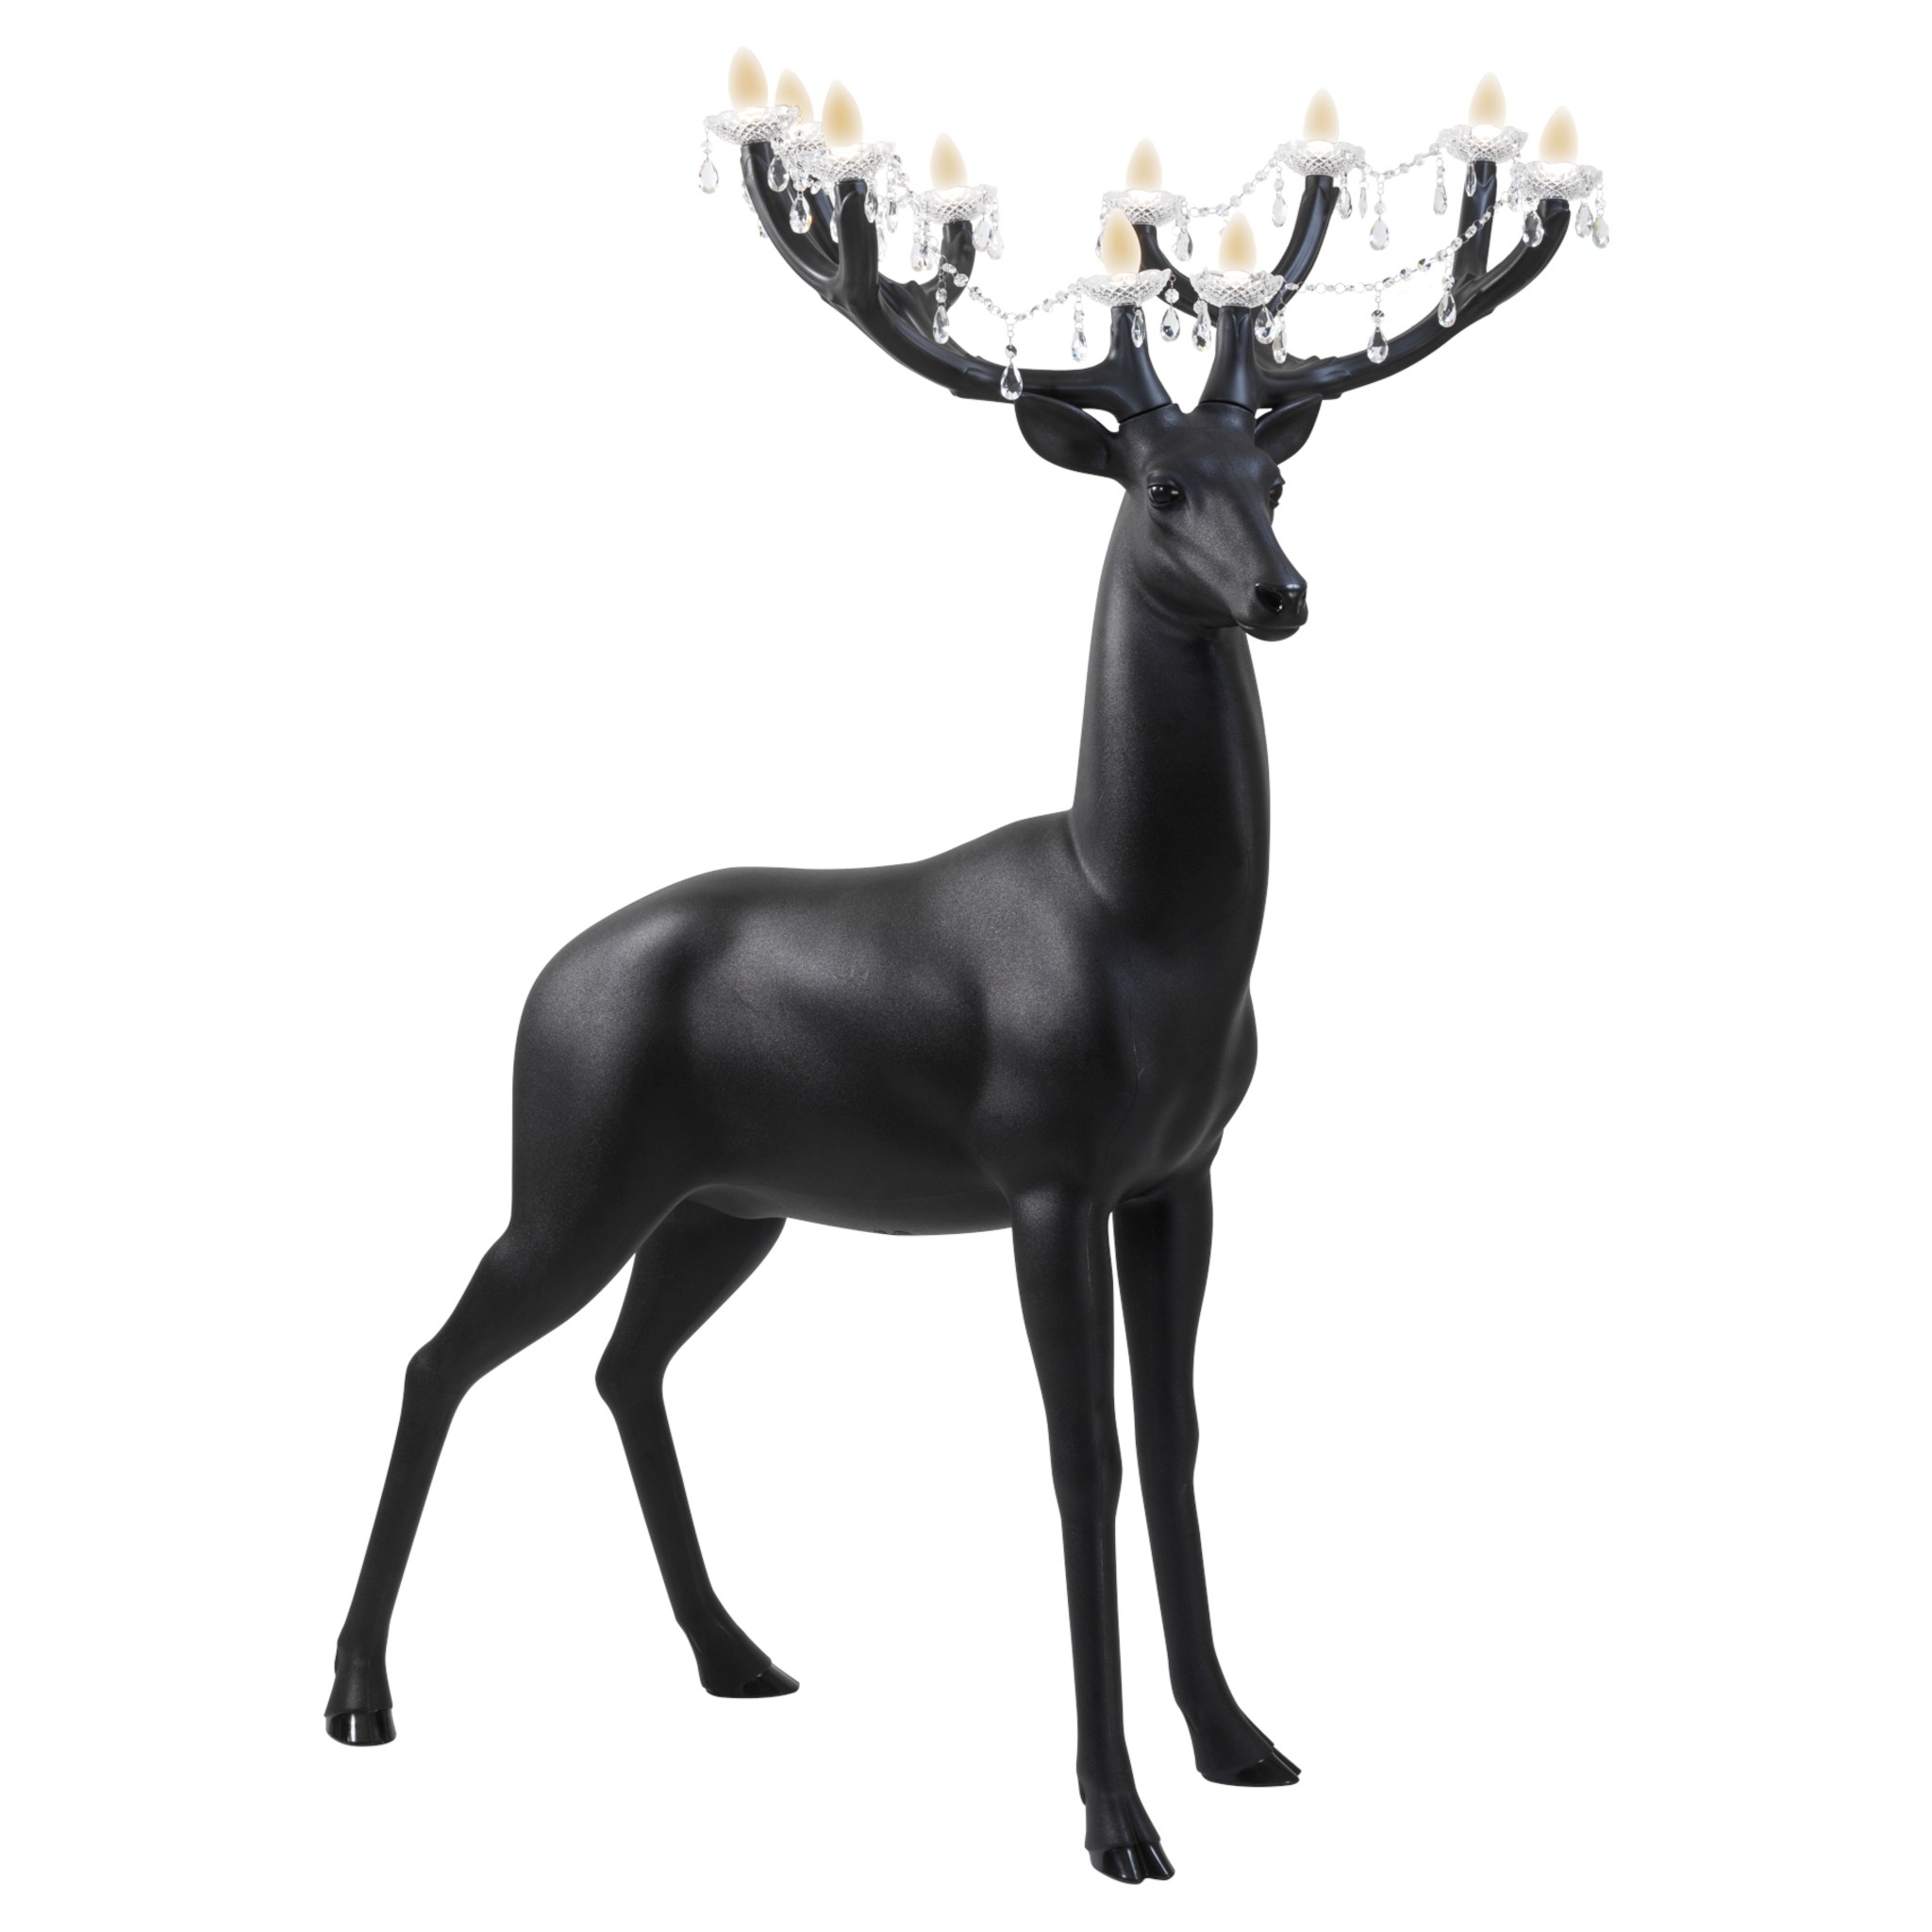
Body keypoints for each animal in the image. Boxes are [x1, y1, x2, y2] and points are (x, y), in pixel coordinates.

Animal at [325, 137, 1571, 1882]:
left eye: (1273, 478)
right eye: (1159, 489)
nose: (1280, 594)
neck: (1143, 926)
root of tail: (539, 982)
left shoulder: (1179, 1175)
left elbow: (1176, 1436)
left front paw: (1238, 1741)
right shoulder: (1043, 1173)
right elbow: (1079, 1453)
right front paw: (1115, 1816)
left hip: (727, 1203)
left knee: (624, 1368)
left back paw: (736, 1653)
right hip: (570, 1171)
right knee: (439, 1356)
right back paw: (359, 1694)